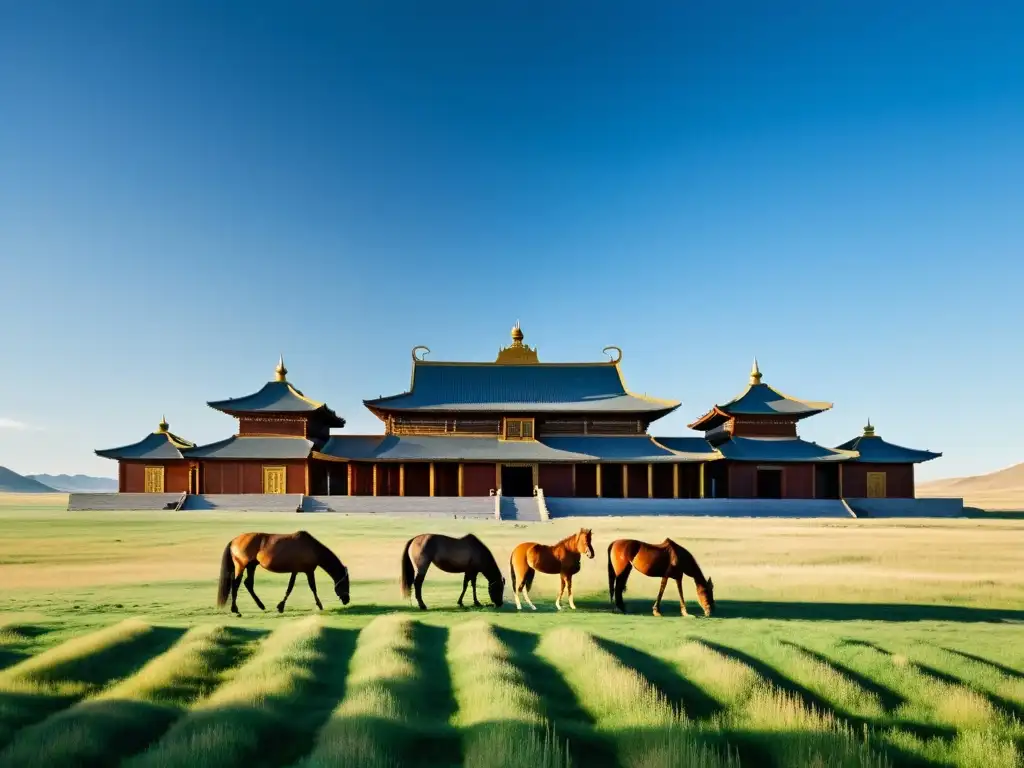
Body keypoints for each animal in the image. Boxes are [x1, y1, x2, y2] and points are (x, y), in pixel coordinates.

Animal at [214, 532, 350, 618]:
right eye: (345, 583)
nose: (347, 600)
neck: (312, 549)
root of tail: (234, 540)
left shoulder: (296, 571)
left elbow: (290, 587)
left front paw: (280, 606)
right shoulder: (309, 571)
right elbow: (311, 587)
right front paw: (320, 605)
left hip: (251, 566)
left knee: (248, 583)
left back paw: (261, 606)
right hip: (241, 565)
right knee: (236, 584)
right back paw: (236, 610)